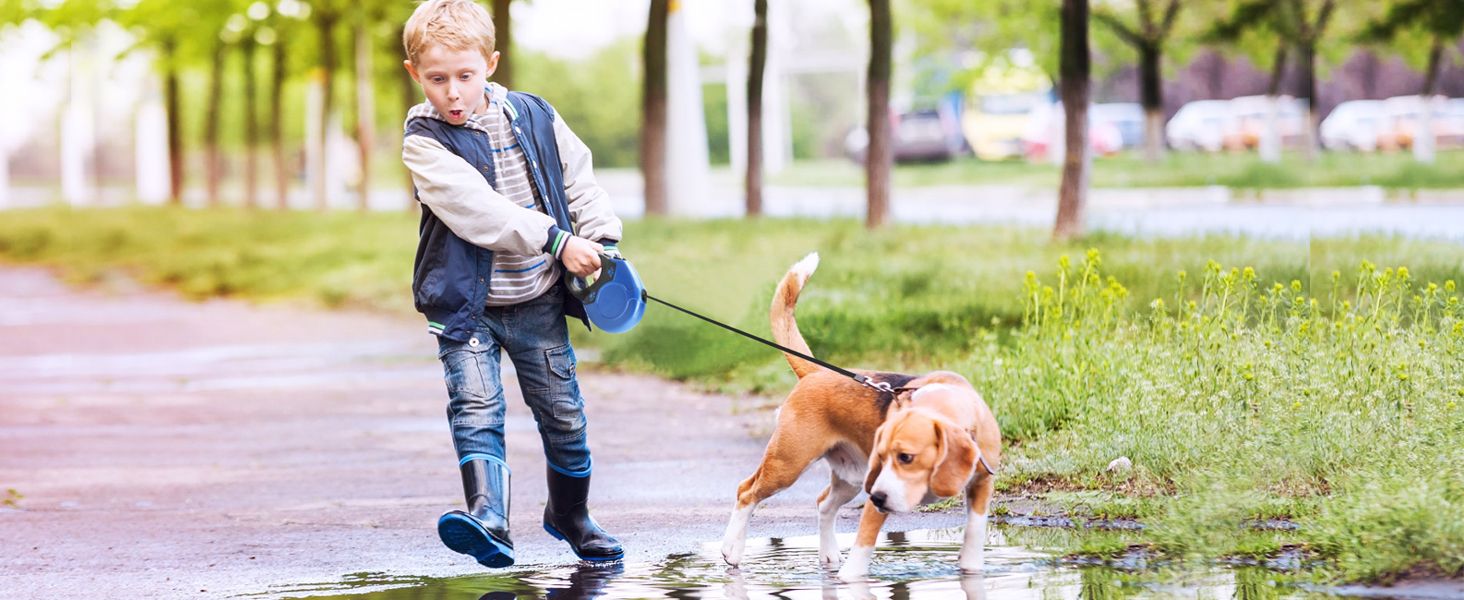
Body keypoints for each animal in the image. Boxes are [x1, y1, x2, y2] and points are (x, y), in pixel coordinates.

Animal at [717, 254, 1001, 582]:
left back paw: (829, 555)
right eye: (884, 455)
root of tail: (817, 372)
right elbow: (863, 545)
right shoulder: (878, 497)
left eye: (906, 457)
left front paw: (972, 569)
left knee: (824, 504)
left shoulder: (981, 485)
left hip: (851, 478)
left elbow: (975, 533)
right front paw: (851, 578)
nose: (876, 496)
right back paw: (732, 550)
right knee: (746, 492)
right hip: (787, 465)